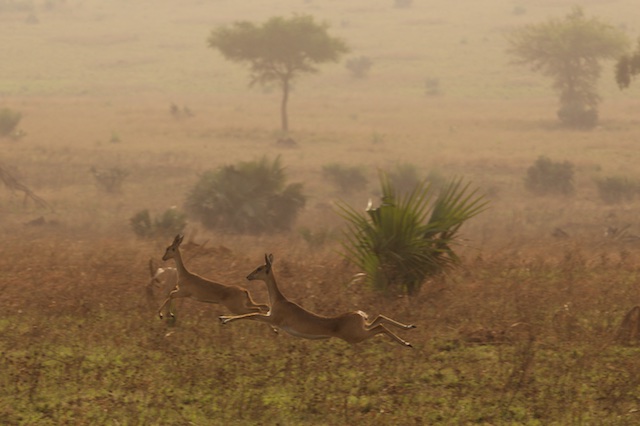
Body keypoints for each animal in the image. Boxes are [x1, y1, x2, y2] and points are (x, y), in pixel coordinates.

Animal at [220, 253, 418, 346]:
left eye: (260, 268)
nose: (248, 276)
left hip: (357, 336)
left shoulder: (272, 318)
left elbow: (252, 315)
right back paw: (410, 328)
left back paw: (407, 343)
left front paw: (224, 319)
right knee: (380, 319)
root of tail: (358, 314)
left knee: (380, 327)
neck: (279, 301)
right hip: (363, 328)